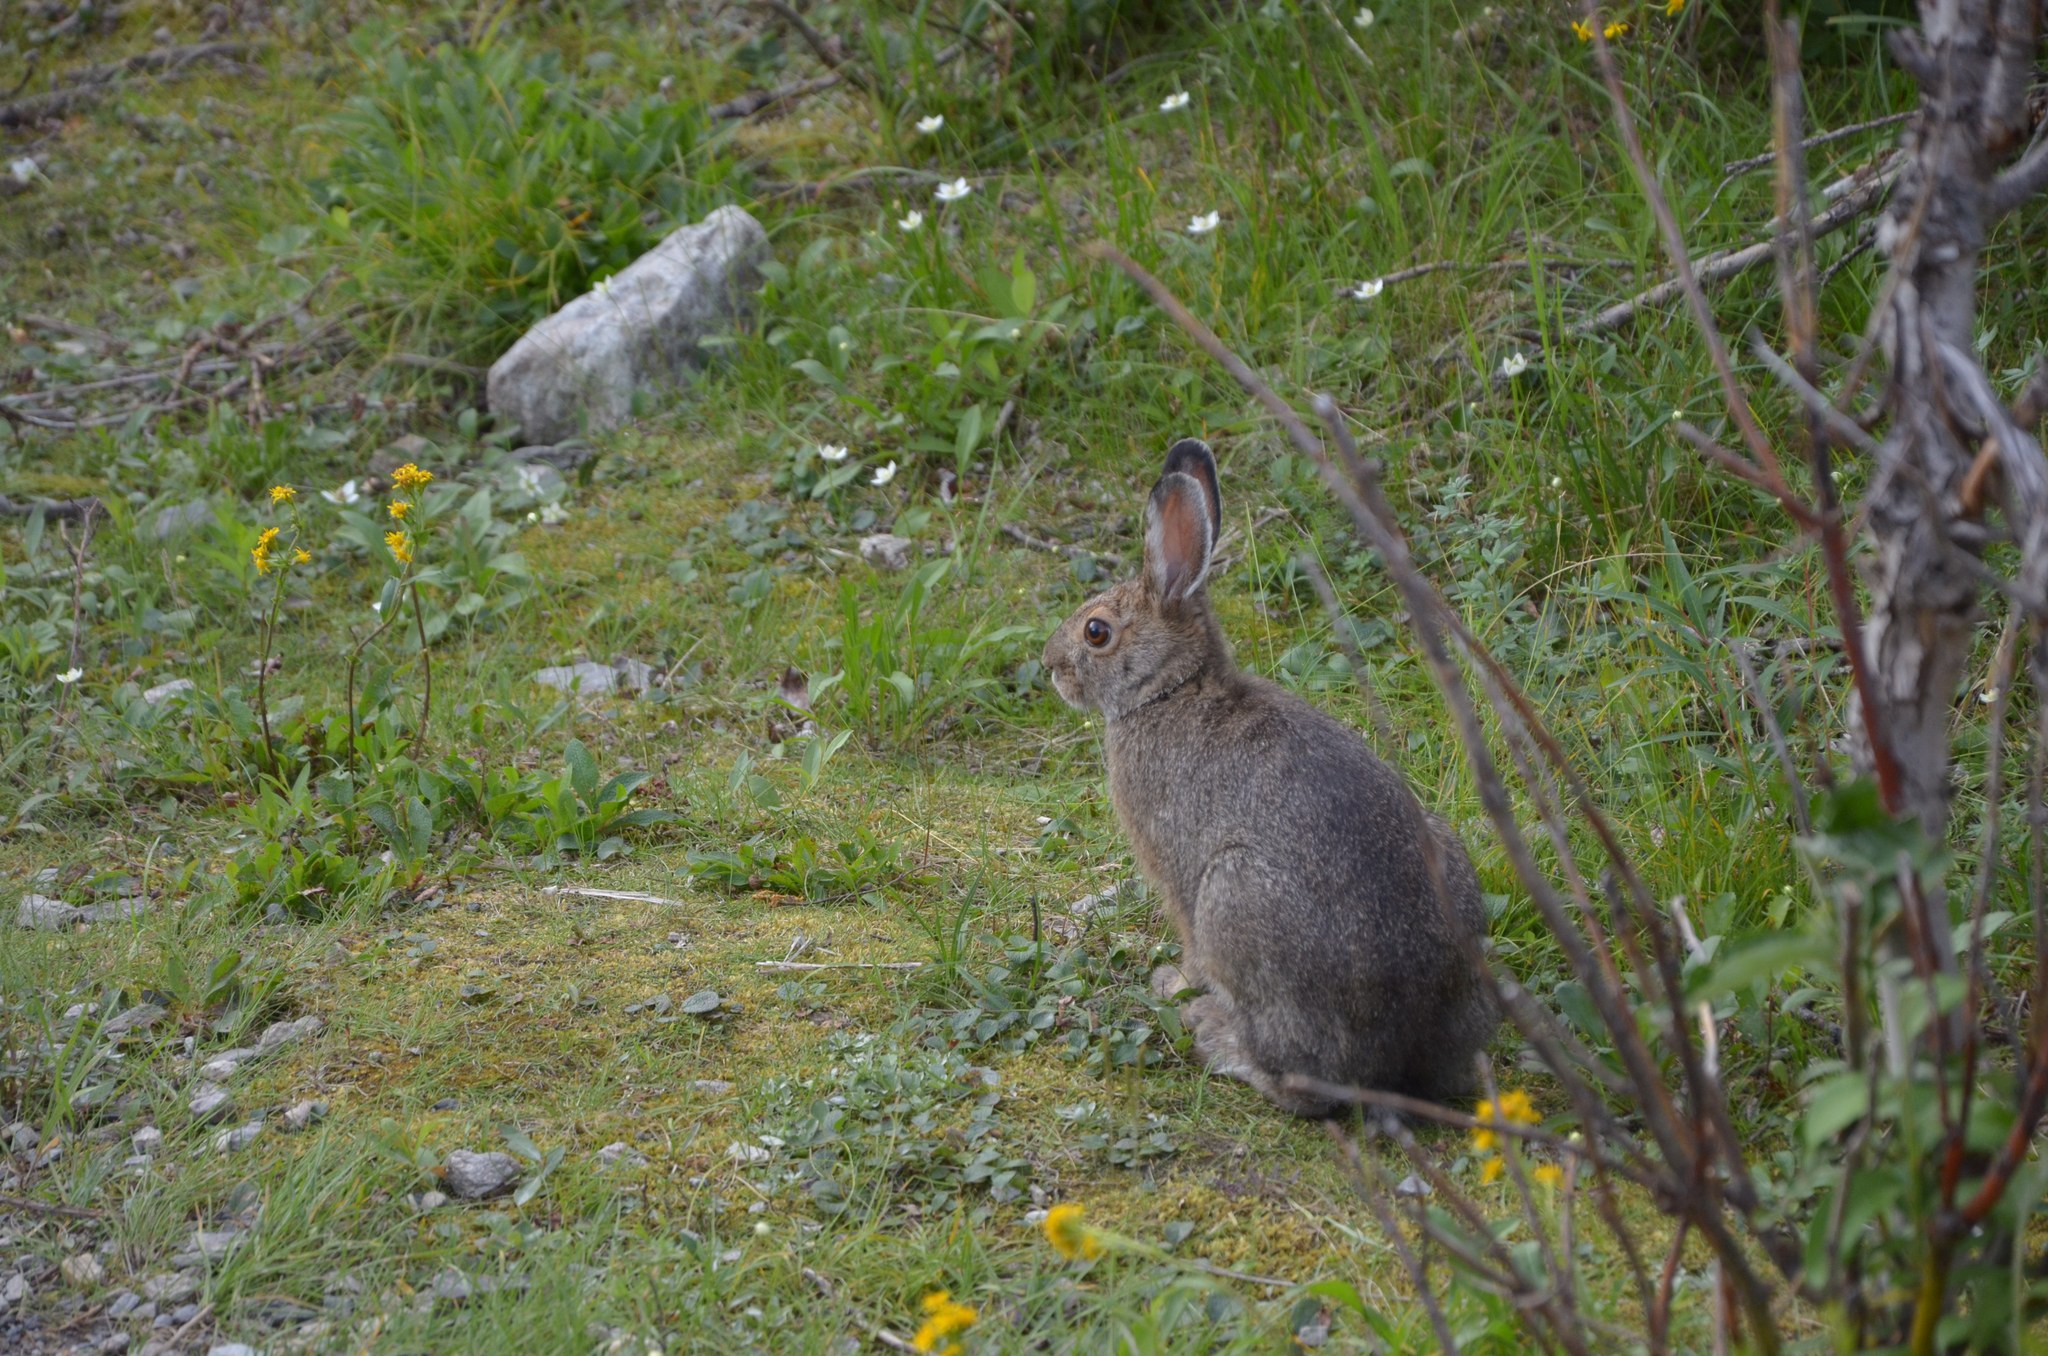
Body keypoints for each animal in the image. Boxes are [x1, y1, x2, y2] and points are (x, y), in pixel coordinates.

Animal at [1041, 438, 1498, 1116]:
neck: (1170, 689)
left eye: (1096, 632)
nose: (1049, 665)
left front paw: (1172, 981)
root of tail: (1400, 1047)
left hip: (1234, 897)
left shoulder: (1176, 873)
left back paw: (1217, 1037)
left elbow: (1187, 944)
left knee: (1304, 1083)